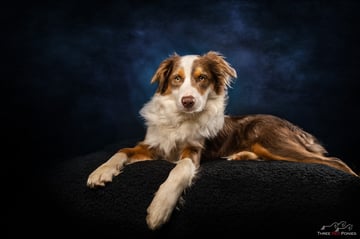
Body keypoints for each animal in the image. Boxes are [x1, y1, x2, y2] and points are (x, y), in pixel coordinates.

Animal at [86, 51, 358, 231]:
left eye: (202, 78)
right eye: (176, 79)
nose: (188, 101)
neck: (181, 117)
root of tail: (295, 127)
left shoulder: (193, 151)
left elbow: (179, 171)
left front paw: (160, 207)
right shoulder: (153, 146)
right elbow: (122, 150)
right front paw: (100, 172)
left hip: (272, 140)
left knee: (335, 161)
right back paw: (240, 155)